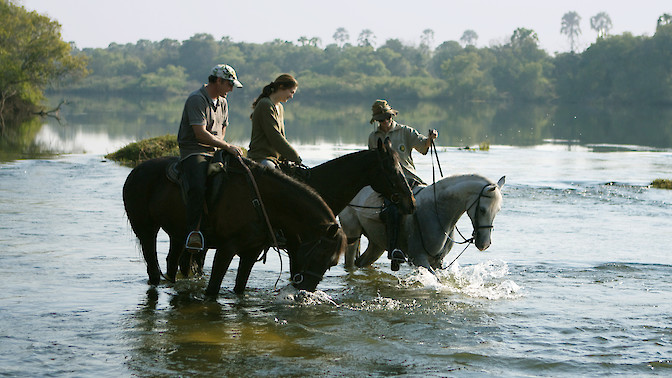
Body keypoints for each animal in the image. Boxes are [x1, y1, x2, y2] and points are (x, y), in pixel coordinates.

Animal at [121, 154, 344, 296]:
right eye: (320, 255)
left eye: (332, 264)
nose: (306, 289)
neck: (260, 200)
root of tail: (135, 171)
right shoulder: (227, 248)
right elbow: (212, 290)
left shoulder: (252, 251)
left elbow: (239, 288)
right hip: (147, 231)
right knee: (153, 269)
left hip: (177, 234)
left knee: (172, 263)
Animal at [342, 174, 504, 274]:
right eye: (482, 210)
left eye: (498, 210)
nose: (484, 244)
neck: (437, 209)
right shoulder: (419, 259)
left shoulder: (437, 261)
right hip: (353, 235)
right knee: (350, 264)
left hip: (377, 244)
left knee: (362, 262)